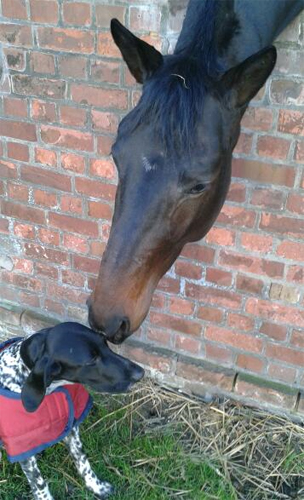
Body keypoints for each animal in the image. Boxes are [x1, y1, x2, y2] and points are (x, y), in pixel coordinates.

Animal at [0, 322, 144, 498]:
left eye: (105, 343)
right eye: (91, 360)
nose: (140, 373)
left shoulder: (72, 427)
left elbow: (82, 460)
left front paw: (96, 486)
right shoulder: (22, 447)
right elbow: (39, 483)